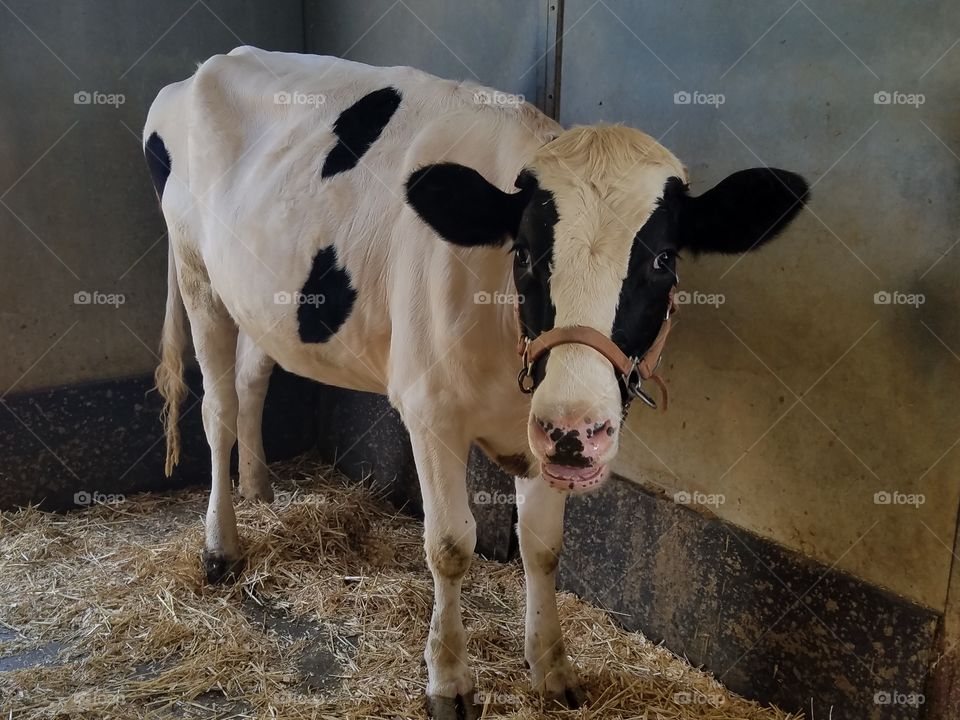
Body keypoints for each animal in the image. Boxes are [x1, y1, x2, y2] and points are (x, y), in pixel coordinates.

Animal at [144, 46, 808, 719]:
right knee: (219, 408)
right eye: (525, 254)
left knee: (252, 379)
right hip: (197, 274)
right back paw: (221, 547)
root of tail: (209, 64)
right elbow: (450, 544)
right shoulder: (430, 412)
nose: (581, 426)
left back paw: (258, 490)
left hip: (264, 301)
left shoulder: (544, 436)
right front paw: (449, 681)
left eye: (664, 260)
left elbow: (543, 545)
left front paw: (551, 666)